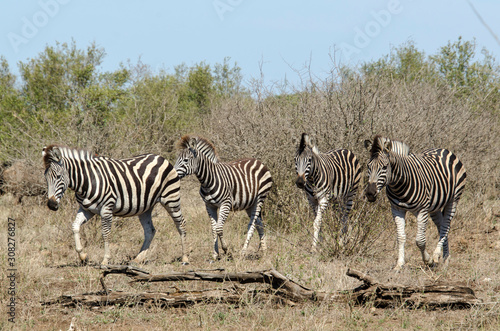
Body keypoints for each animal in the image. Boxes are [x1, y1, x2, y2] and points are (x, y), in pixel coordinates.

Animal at [41, 145, 188, 268]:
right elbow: (75, 226)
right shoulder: (86, 209)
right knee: (150, 230)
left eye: (58, 176)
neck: (87, 181)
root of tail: (160, 157)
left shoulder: (107, 208)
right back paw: (137, 259)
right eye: (46, 178)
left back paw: (185, 258)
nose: (51, 205)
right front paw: (83, 256)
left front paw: (105, 260)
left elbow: (105, 234)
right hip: (145, 207)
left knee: (181, 224)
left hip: (171, 198)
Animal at [362, 136, 466, 272]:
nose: (370, 193)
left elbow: (420, 240)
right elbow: (400, 237)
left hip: (453, 199)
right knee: (441, 225)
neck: (399, 185)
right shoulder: (396, 209)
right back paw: (445, 258)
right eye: (368, 166)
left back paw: (437, 255)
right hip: (435, 207)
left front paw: (428, 260)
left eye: (384, 167)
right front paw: (399, 264)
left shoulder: (422, 210)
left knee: (446, 226)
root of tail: (445, 150)